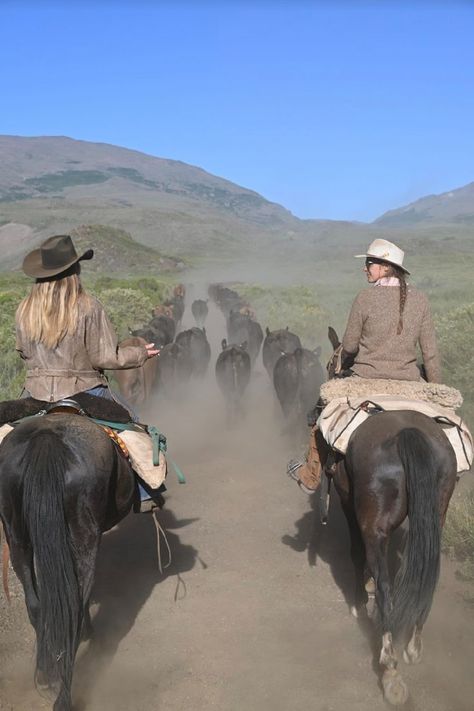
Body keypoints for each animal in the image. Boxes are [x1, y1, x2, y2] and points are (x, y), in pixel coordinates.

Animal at [0, 414, 137, 708]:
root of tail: (47, 437)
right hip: (85, 534)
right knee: (75, 602)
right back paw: (64, 695)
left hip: (16, 535)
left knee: (37, 605)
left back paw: (45, 676)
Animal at [324, 328, 458, 708]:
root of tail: (406, 433)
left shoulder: (348, 504)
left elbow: (358, 555)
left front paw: (359, 601)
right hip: (437, 512)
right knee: (426, 574)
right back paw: (413, 645)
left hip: (374, 523)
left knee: (385, 583)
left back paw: (390, 666)